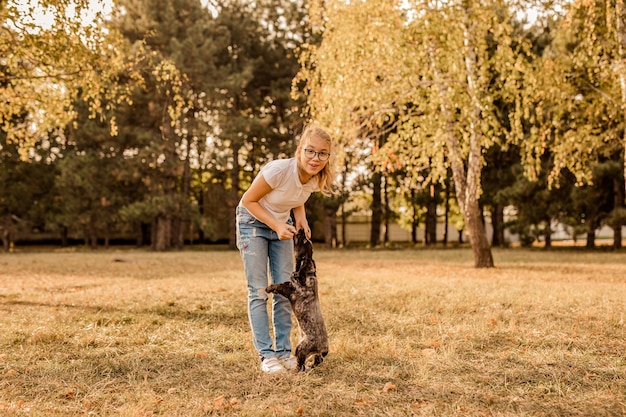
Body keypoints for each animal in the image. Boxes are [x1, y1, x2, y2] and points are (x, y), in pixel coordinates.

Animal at [266, 228, 330, 370]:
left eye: (304, 240)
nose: (301, 229)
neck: (308, 273)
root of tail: (324, 348)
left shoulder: (291, 291)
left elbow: (279, 285)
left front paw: (269, 287)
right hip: (314, 353)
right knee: (318, 359)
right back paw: (311, 365)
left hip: (301, 348)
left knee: (301, 363)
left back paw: (297, 370)